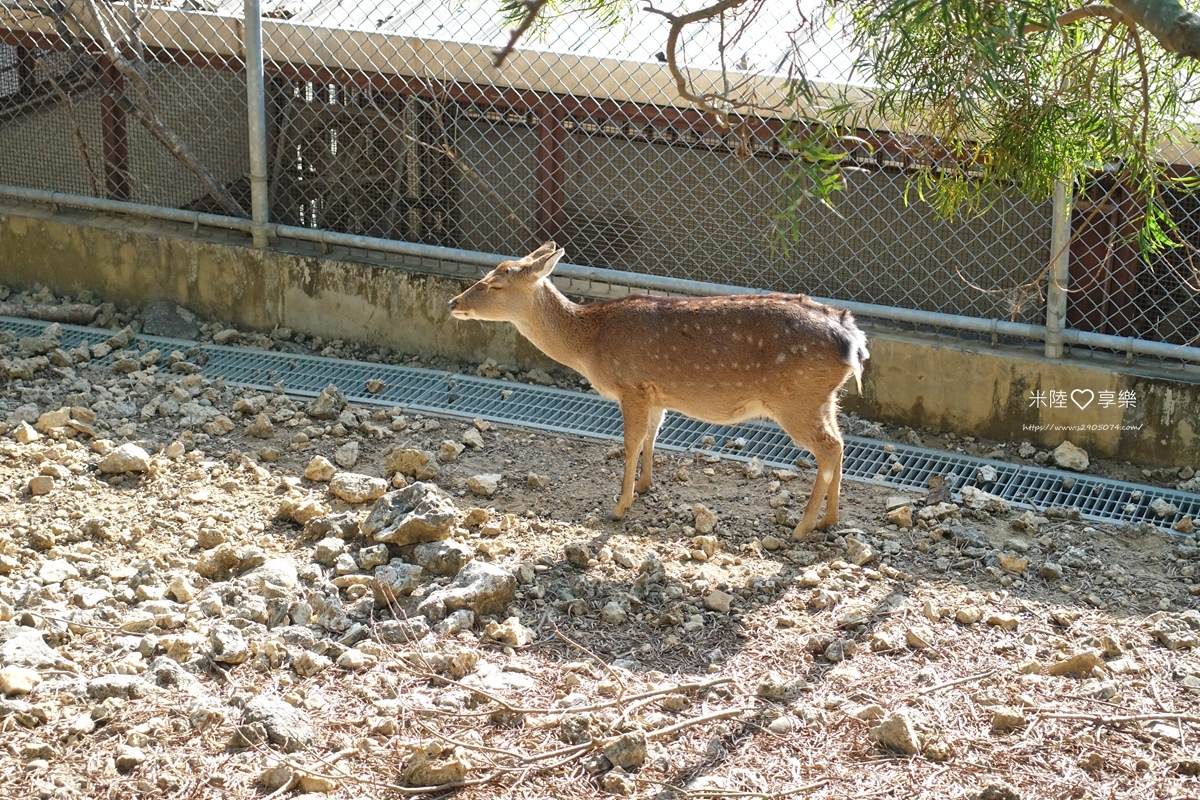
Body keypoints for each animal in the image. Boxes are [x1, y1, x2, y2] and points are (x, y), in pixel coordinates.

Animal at [446, 242, 868, 537]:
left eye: (496, 282)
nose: (453, 302)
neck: (590, 343)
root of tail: (853, 338)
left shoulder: (631, 384)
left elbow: (630, 442)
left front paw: (619, 507)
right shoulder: (656, 392)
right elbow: (652, 435)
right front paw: (646, 485)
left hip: (796, 399)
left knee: (828, 448)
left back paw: (802, 527)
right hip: (825, 398)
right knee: (840, 443)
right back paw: (830, 520)